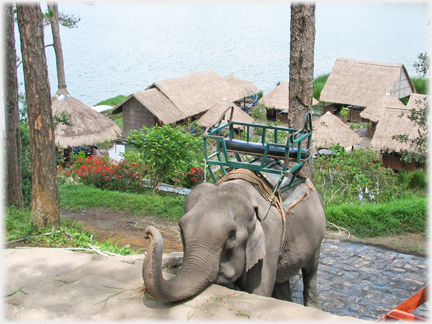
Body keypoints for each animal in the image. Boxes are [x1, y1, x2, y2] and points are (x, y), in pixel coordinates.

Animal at [143, 175, 326, 308]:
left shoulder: (271, 236)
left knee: (311, 271)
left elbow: (260, 290)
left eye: (231, 236)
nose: (148, 233)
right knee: (282, 279)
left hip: (317, 237)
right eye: (181, 229)